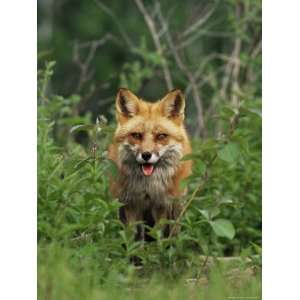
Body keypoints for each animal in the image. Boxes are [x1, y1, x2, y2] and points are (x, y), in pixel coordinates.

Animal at [108, 88, 192, 240]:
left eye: (161, 136)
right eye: (136, 135)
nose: (146, 155)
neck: (148, 187)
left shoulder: (162, 204)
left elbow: (158, 235)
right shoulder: (130, 204)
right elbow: (132, 236)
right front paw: (131, 247)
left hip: (177, 207)